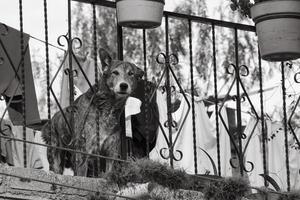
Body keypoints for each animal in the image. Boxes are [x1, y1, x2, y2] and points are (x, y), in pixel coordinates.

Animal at [42, 48, 144, 177]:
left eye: (131, 74)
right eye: (115, 72)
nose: (123, 85)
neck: (107, 107)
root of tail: (51, 121)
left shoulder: (110, 153)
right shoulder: (83, 152)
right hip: (56, 159)